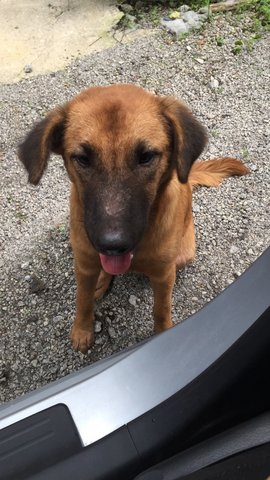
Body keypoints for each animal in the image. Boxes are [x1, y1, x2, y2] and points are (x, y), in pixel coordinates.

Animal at [17, 83, 248, 352]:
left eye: (146, 156)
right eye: (83, 159)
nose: (112, 245)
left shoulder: (162, 274)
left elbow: (161, 310)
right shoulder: (83, 263)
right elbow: (82, 299)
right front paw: (82, 330)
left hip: (184, 255)